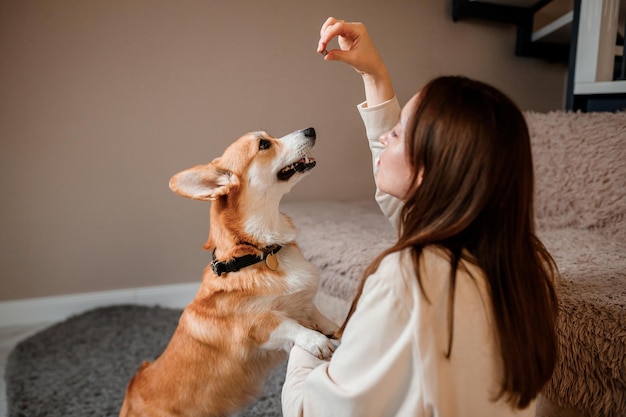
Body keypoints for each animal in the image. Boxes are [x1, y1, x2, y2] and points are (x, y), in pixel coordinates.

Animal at [120, 127, 338, 416]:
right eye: (264, 144)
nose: (310, 130)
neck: (258, 253)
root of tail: (130, 396)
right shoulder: (254, 328)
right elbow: (286, 323)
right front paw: (315, 340)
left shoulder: (303, 303)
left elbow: (318, 314)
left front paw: (336, 328)